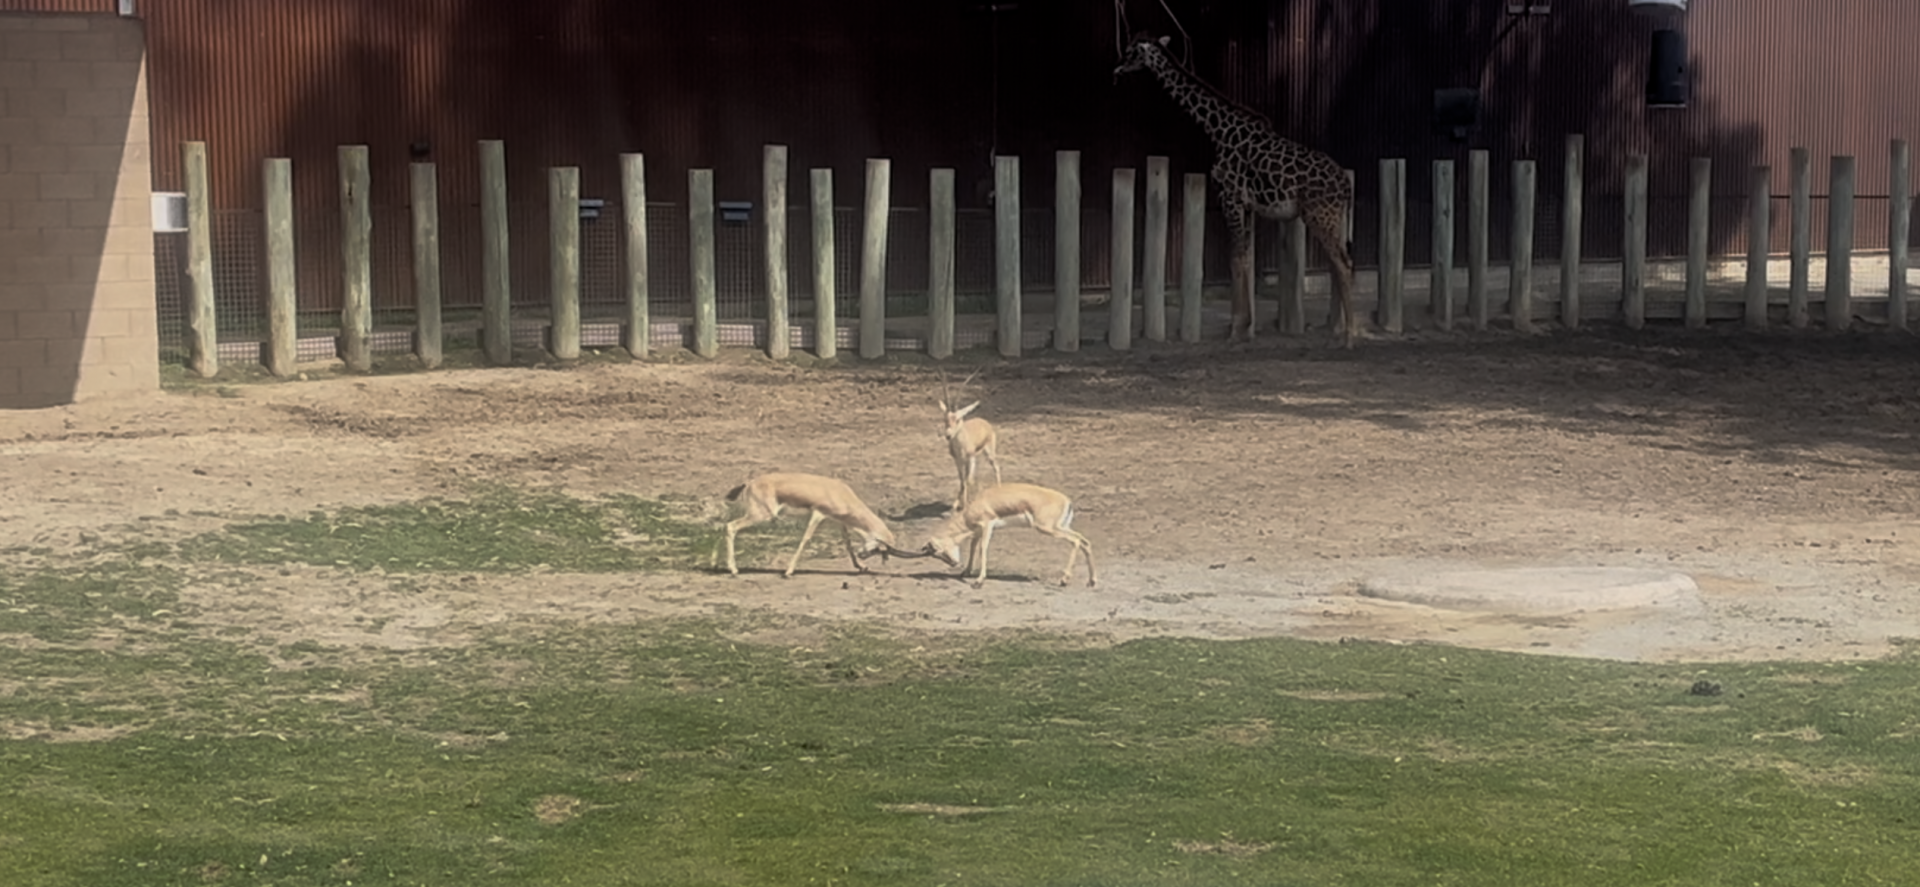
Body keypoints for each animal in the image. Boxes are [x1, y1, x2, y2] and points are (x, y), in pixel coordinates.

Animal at [1114, 34, 1358, 347]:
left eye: (1131, 50)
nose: (1117, 67)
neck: (1217, 129)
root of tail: (1346, 185)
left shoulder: (1229, 196)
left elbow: (1234, 258)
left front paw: (1235, 329)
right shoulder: (1247, 204)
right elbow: (1244, 257)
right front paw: (1244, 326)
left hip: (1319, 216)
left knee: (1342, 262)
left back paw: (1350, 335)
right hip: (1335, 218)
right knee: (1342, 260)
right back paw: (1341, 329)